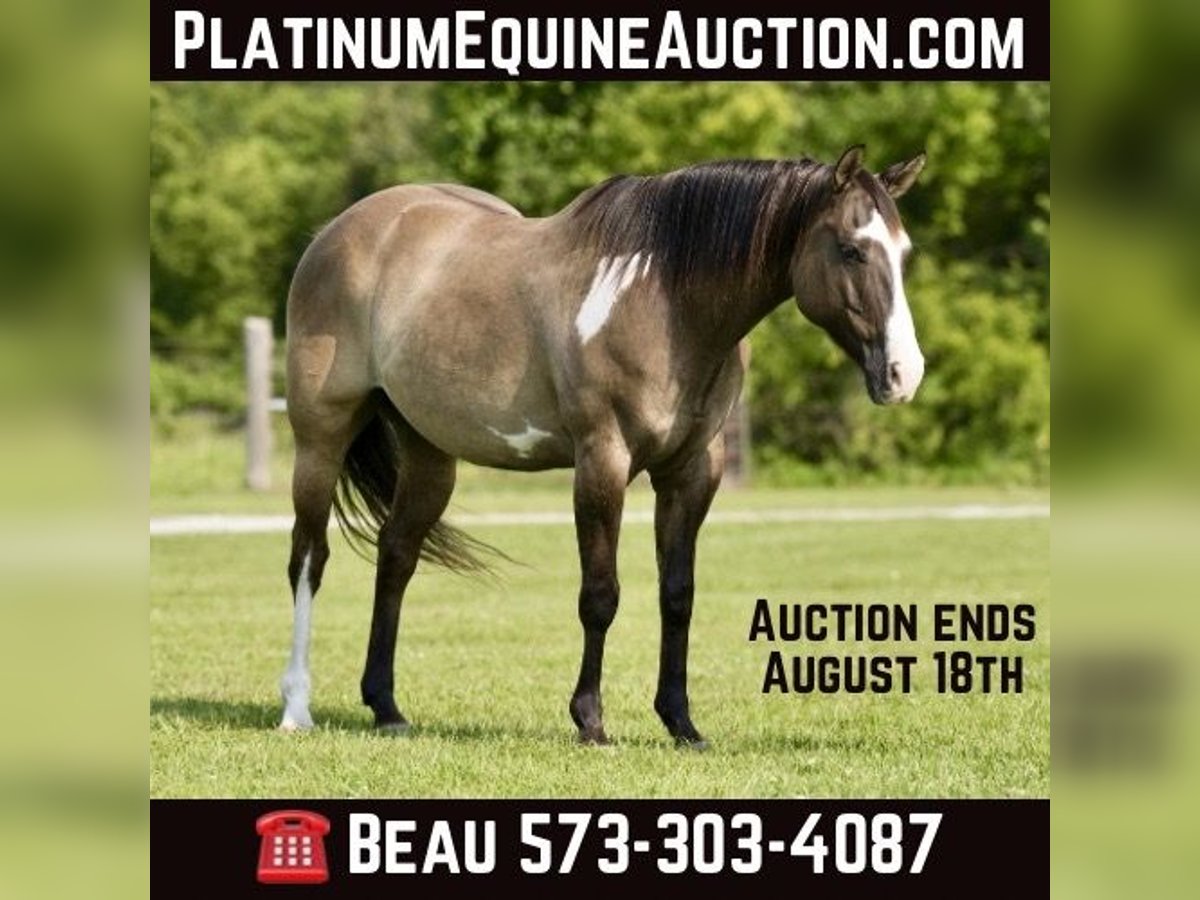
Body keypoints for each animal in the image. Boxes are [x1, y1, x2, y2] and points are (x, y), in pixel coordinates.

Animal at [278, 145, 926, 747]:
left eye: (903, 253)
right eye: (851, 249)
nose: (904, 373)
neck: (665, 303)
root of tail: (336, 233)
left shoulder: (691, 471)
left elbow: (677, 595)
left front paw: (681, 722)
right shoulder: (602, 461)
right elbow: (600, 594)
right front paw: (590, 720)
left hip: (429, 452)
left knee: (396, 556)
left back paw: (386, 707)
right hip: (319, 440)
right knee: (309, 559)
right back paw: (296, 708)